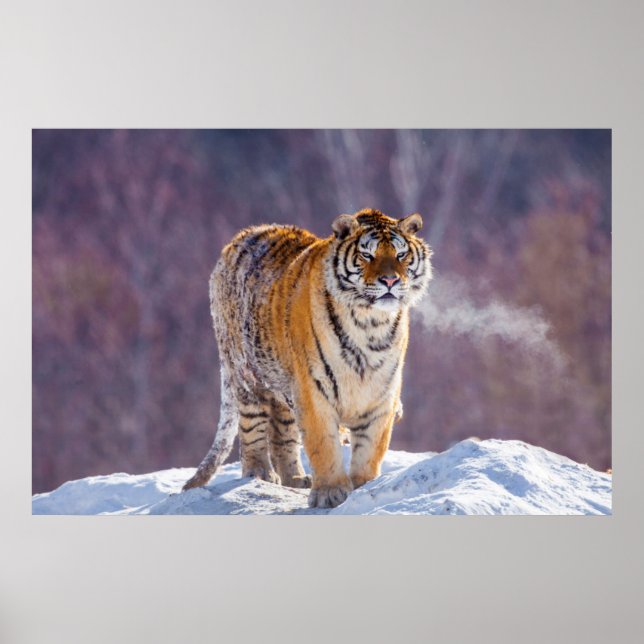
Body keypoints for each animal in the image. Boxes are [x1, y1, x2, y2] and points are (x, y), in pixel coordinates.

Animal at [182, 208, 433, 508]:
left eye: (400, 254)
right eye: (367, 255)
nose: (390, 281)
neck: (370, 324)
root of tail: (239, 238)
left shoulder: (381, 393)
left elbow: (371, 447)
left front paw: (364, 486)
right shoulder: (314, 389)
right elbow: (323, 443)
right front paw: (330, 494)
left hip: (283, 388)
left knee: (282, 434)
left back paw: (295, 479)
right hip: (246, 377)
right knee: (252, 429)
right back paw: (260, 474)